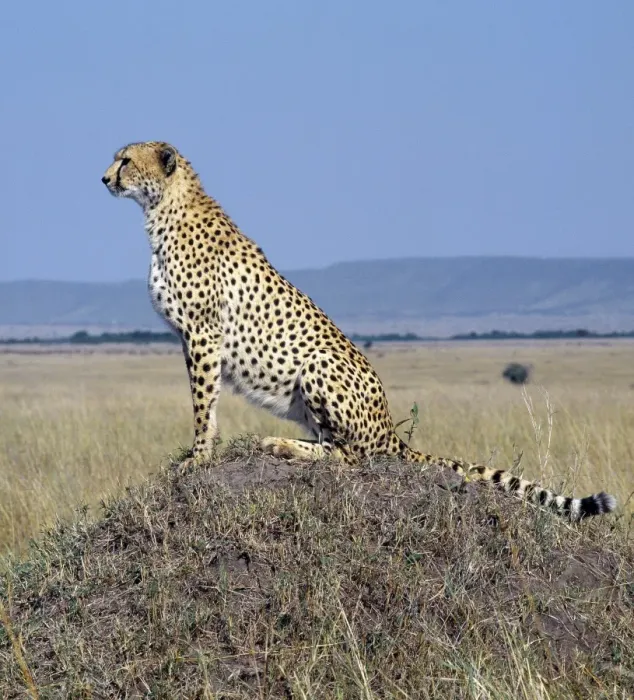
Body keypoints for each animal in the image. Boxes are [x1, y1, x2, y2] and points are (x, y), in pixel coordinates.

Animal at [101, 141, 617, 521]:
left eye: (125, 159)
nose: (104, 178)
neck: (165, 208)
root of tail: (392, 430)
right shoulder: (195, 337)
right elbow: (205, 402)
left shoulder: (202, 334)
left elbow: (203, 404)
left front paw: (198, 457)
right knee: (334, 445)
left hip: (318, 365)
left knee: (352, 456)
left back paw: (281, 445)